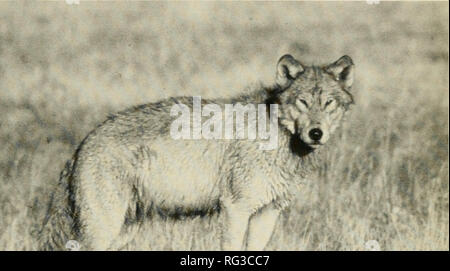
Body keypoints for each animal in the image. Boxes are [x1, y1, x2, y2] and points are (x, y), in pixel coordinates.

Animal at [38, 54, 354, 252]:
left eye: (328, 103)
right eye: (303, 102)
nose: (316, 133)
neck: (279, 136)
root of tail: (82, 144)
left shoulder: (269, 212)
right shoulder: (235, 209)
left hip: (123, 231)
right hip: (103, 228)